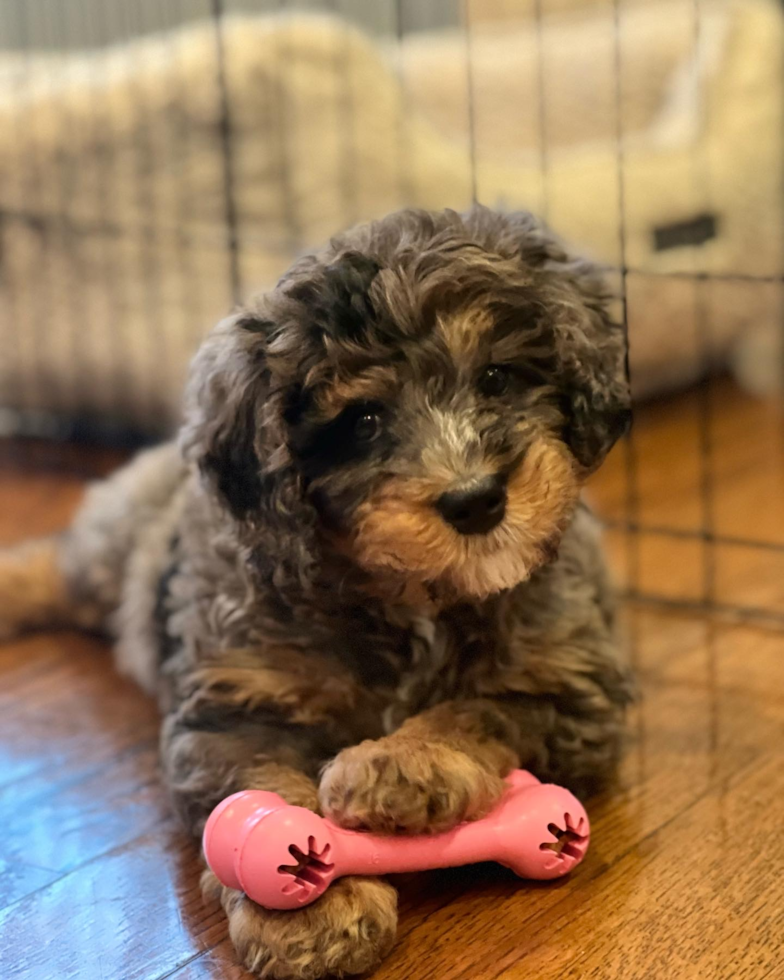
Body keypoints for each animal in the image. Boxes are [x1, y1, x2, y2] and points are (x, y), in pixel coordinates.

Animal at [0, 209, 632, 980]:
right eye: (362, 421)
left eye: (496, 377)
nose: (477, 500)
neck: (407, 596)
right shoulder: (237, 707)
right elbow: (260, 789)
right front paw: (311, 902)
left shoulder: (572, 688)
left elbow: (480, 708)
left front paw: (404, 762)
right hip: (114, 548)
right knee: (60, 566)